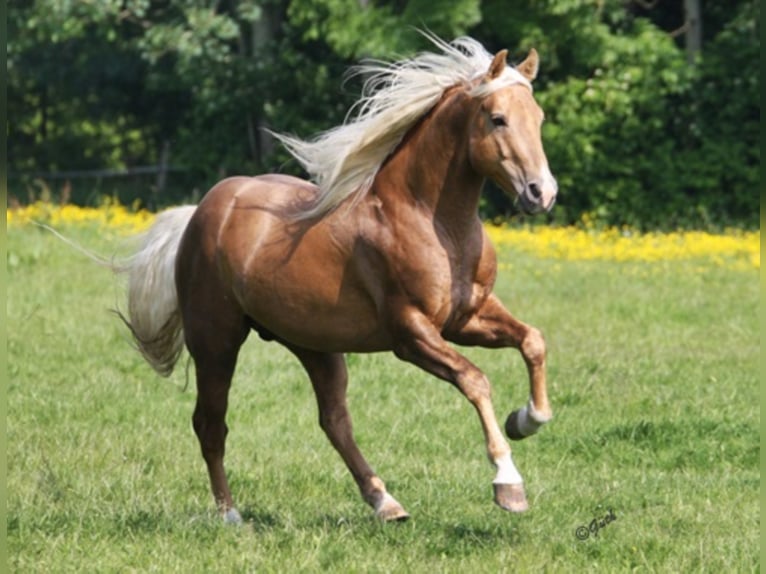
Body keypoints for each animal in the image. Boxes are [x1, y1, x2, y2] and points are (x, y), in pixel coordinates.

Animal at [120, 35, 557, 523]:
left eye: (538, 118)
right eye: (497, 118)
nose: (542, 193)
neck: (431, 221)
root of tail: (200, 213)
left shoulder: (468, 318)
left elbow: (533, 341)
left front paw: (525, 421)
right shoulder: (412, 333)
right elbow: (476, 380)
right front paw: (509, 484)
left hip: (315, 345)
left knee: (334, 421)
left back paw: (386, 503)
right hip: (216, 341)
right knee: (210, 423)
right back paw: (231, 516)